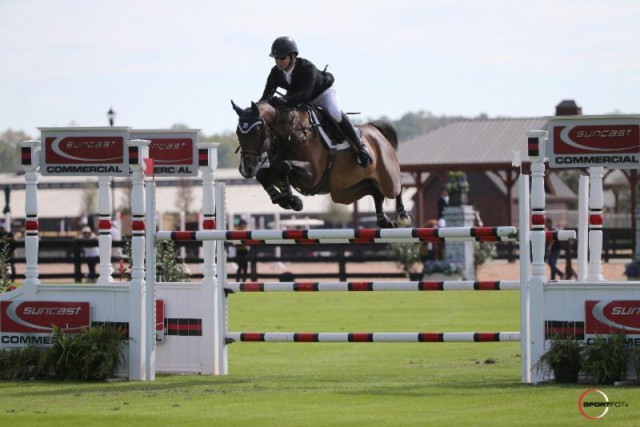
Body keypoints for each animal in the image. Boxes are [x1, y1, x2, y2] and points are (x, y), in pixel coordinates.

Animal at [230, 100, 410, 229]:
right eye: (238, 132)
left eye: (255, 132)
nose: (246, 169)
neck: (290, 135)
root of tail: (376, 131)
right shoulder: (277, 171)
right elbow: (264, 174)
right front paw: (282, 199)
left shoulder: (312, 176)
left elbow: (285, 166)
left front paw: (292, 200)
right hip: (343, 193)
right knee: (374, 191)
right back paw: (383, 220)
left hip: (387, 177)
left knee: (397, 186)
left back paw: (403, 216)